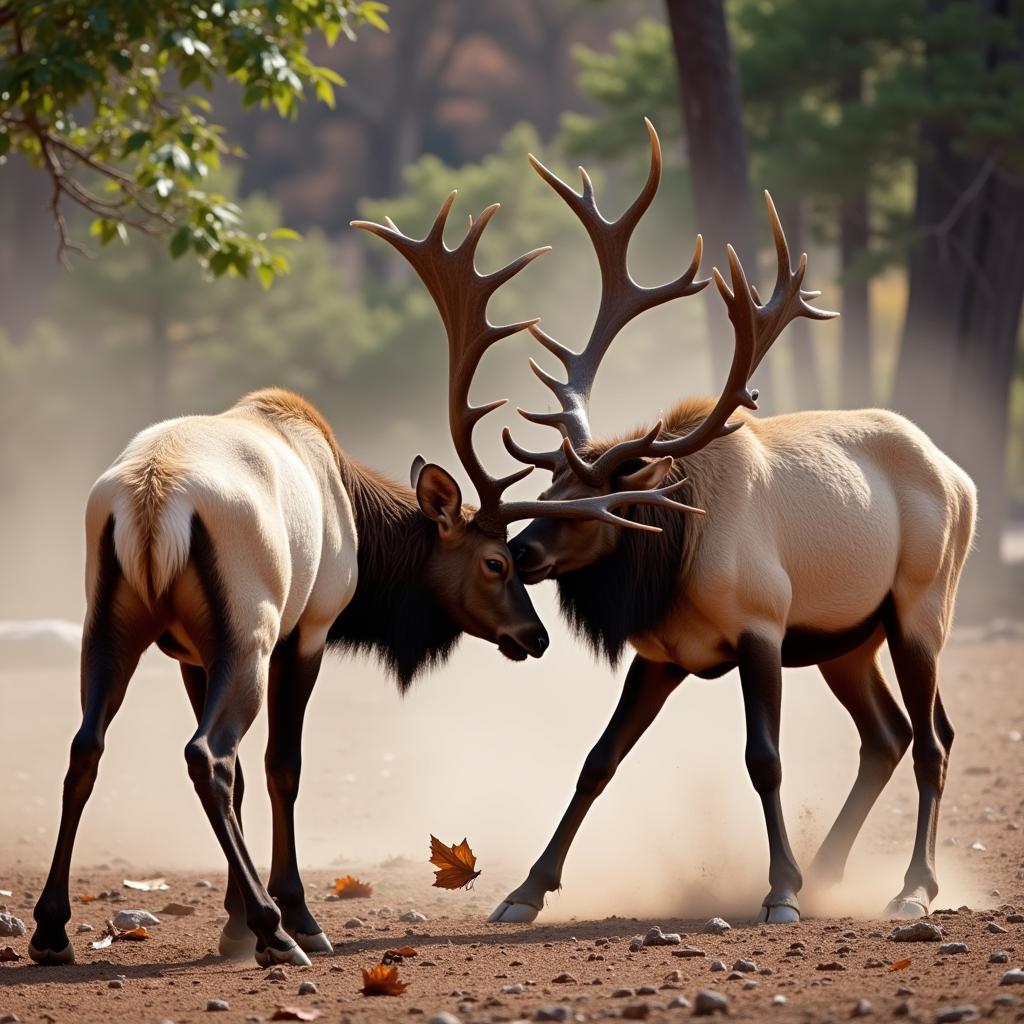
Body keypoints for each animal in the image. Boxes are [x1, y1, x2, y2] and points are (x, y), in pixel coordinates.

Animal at [487, 121, 974, 929]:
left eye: (601, 500)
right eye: (551, 482)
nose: (519, 550)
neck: (676, 559)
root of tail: (961, 478)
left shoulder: (762, 627)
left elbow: (763, 759)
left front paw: (780, 890)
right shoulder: (661, 654)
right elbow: (598, 759)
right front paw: (525, 889)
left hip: (920, 607)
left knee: (933, 738)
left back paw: (912, 887)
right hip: (849, 639)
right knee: (888, 733)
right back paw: (832, 870)